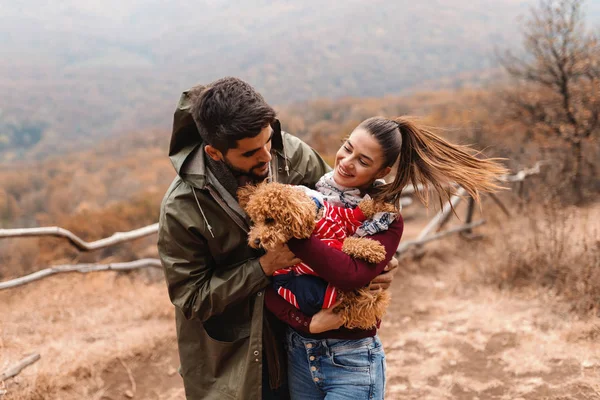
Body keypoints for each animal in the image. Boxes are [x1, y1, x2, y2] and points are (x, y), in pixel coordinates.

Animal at [239, 183, 398, 330]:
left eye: (269, 220)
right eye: (255, 221)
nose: (255, 241)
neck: (316, 217)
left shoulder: (346, 218)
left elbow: (362, 209)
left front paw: (386, 206)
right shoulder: (328, 247)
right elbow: (348, 243)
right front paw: (374, 249)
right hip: (310, 290)